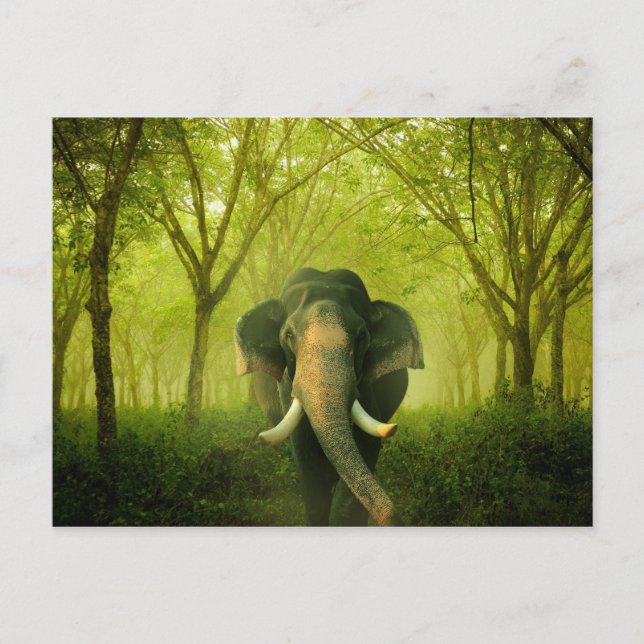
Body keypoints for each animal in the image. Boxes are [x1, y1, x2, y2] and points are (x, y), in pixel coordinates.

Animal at [234, 268, 424, 526]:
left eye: (362, 335)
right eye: (289, 334)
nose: (397, 520)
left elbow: (367, 443)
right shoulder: (287, 384)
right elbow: (305, 453)